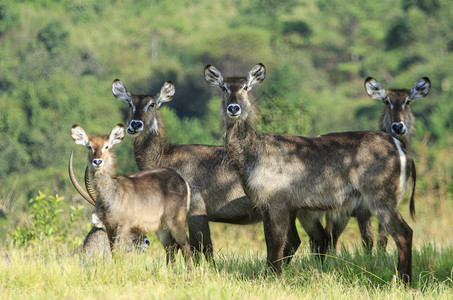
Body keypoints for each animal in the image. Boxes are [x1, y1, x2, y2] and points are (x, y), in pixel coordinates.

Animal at [69, 124, 192, 270]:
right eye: (89, 146)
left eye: (107, 147)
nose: (146, 241)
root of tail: (181, 179)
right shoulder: (111, 228)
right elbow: (114, 251)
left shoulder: (122, 225)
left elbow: (117, 252)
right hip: (162, 227)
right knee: (171, 247)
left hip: (175, 221)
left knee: (184, 244)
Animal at [109, 78, 328, 262]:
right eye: (130, 104)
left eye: (152, 104)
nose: (135, 124)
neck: (165, 156)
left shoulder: (196, 209)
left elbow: (202, 248)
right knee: (309, 239)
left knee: (307, 239)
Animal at [205, 63, 416, 284]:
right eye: (224, 87)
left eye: (245, 87)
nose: (233, 108)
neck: (254, 155)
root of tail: (401, 150)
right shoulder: (268, 206)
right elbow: (275, 242)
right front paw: (270, 274)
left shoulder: (277, 202)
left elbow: (276, 242)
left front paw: (273, 277)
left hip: (380, 197)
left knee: (403, 233)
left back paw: (404, 281)